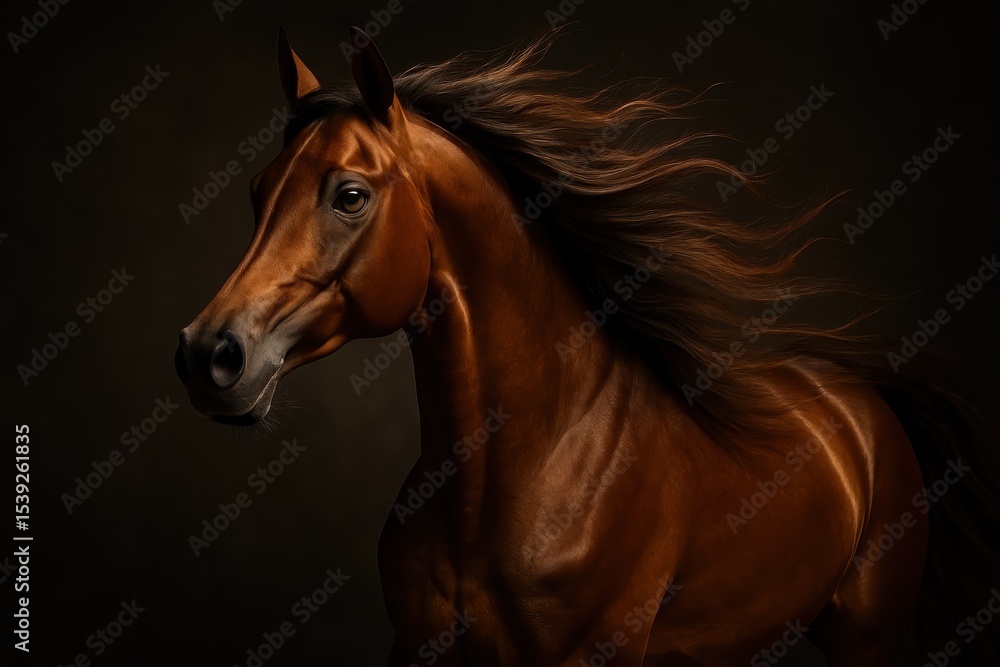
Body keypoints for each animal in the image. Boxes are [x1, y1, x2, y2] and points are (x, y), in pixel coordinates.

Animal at [175, 27, 1000, 665]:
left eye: (350, 194)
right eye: (257, 190)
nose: (209, 354)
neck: (514, 474)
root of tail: (862, 398)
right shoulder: (417, 648)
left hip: (864, 637)